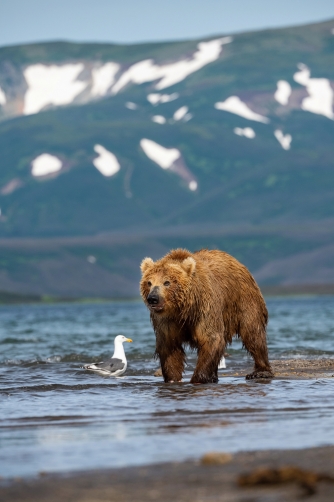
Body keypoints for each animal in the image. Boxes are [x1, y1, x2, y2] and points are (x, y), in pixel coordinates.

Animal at [140, 248, 272, 384]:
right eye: (149, 282)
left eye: (167, 282)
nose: (153, 298)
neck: (183, 310)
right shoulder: (167, 321)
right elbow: (169, 346)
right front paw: (173, 379)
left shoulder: (205, 309)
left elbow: (211, 339)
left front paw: (198, 378)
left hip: (244, 300)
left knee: (252, 334)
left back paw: (260, 372)